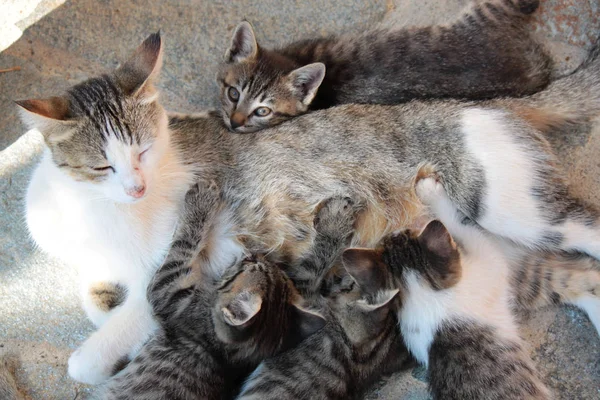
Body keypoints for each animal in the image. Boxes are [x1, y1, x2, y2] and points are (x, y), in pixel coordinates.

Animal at [18, 33, 600, 378]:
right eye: (103, 166)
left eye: (142, 151)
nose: (136, 187)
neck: (91, 211)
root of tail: (490, 104)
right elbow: (95, 297)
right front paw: (105, 305)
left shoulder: (186, 268)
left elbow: (87, 357)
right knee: (579, 276)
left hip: (517, 210)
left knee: (586, 231)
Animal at [97, 182, 328, 400]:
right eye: (263, 265)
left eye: (250, 265)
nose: (256, 255)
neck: (226, 354)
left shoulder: (168, 293)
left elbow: (183, 246)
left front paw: (201, 202)